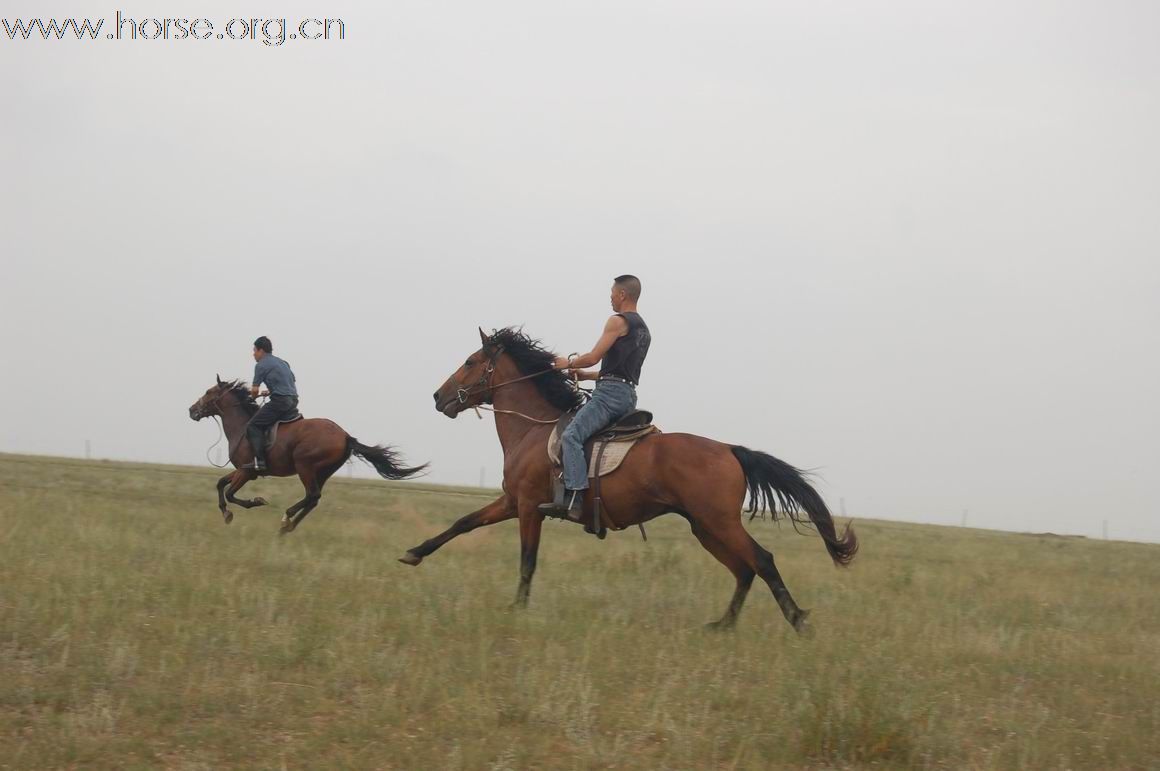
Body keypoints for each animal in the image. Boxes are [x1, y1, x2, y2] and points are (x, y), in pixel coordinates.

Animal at [187, 375, 429, 533]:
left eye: (209, 392)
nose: (191, 410)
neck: (242, 426)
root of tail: (345, 436)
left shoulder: (247, 472)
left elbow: (230, 493)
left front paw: (254, 502)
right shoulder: (242, 471)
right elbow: (220, 484)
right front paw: (225, 513)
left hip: (305, 465)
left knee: (311, 495)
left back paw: (286, 518)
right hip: (323, 471)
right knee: (314, 498)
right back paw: (289, 525)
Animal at [403, 326, 858, 635]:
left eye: (470, 362)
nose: (438, 397)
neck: (533, 429)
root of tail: (729, 450)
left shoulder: (530, 507)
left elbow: (527, 561)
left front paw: (516, 609)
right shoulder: (511, 503)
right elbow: (463, 523)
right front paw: (414, 553)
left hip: (719, 523)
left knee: (762, 561)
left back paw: (797, 621)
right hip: (704, 527)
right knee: (744, 570)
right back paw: (722, 626)